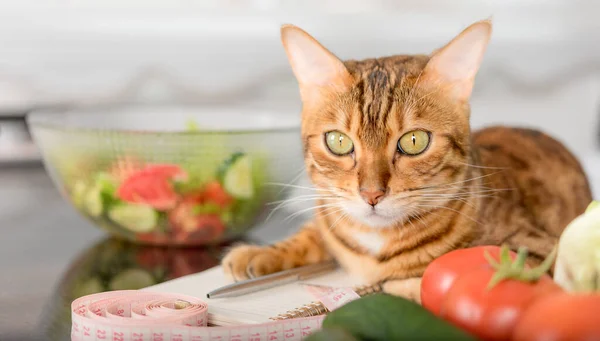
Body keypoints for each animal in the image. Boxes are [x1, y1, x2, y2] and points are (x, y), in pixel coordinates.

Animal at [220, 19, 592, 300]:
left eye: (414, 141)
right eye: (338, 142)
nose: (371, 194)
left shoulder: (543, 252)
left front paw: (403, 284)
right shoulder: (330, 216)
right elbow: (314, 232)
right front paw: (261, 252)